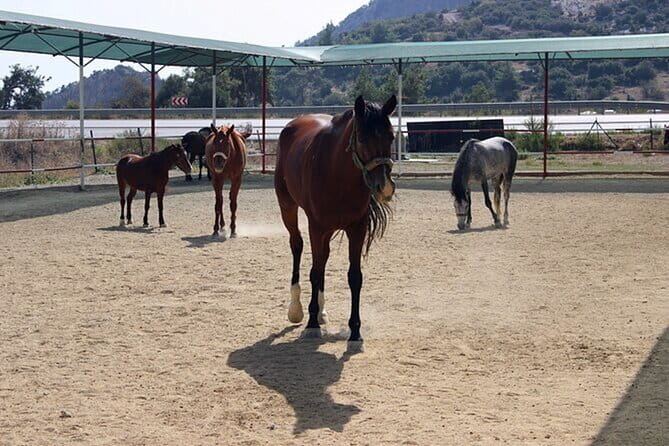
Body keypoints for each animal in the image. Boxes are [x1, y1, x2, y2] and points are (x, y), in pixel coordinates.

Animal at [274, 95, 397, 342]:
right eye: (362, 138)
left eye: (391, 136)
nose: (385, 188)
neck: (337, 173)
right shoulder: (316, 227)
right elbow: (315, 272)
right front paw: (311, 323)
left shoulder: (357, 228)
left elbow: (354, 277)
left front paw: (355, 330)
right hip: (288, 207)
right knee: (297, 245)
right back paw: (296, 308)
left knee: (324, 257)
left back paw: (321, 311)